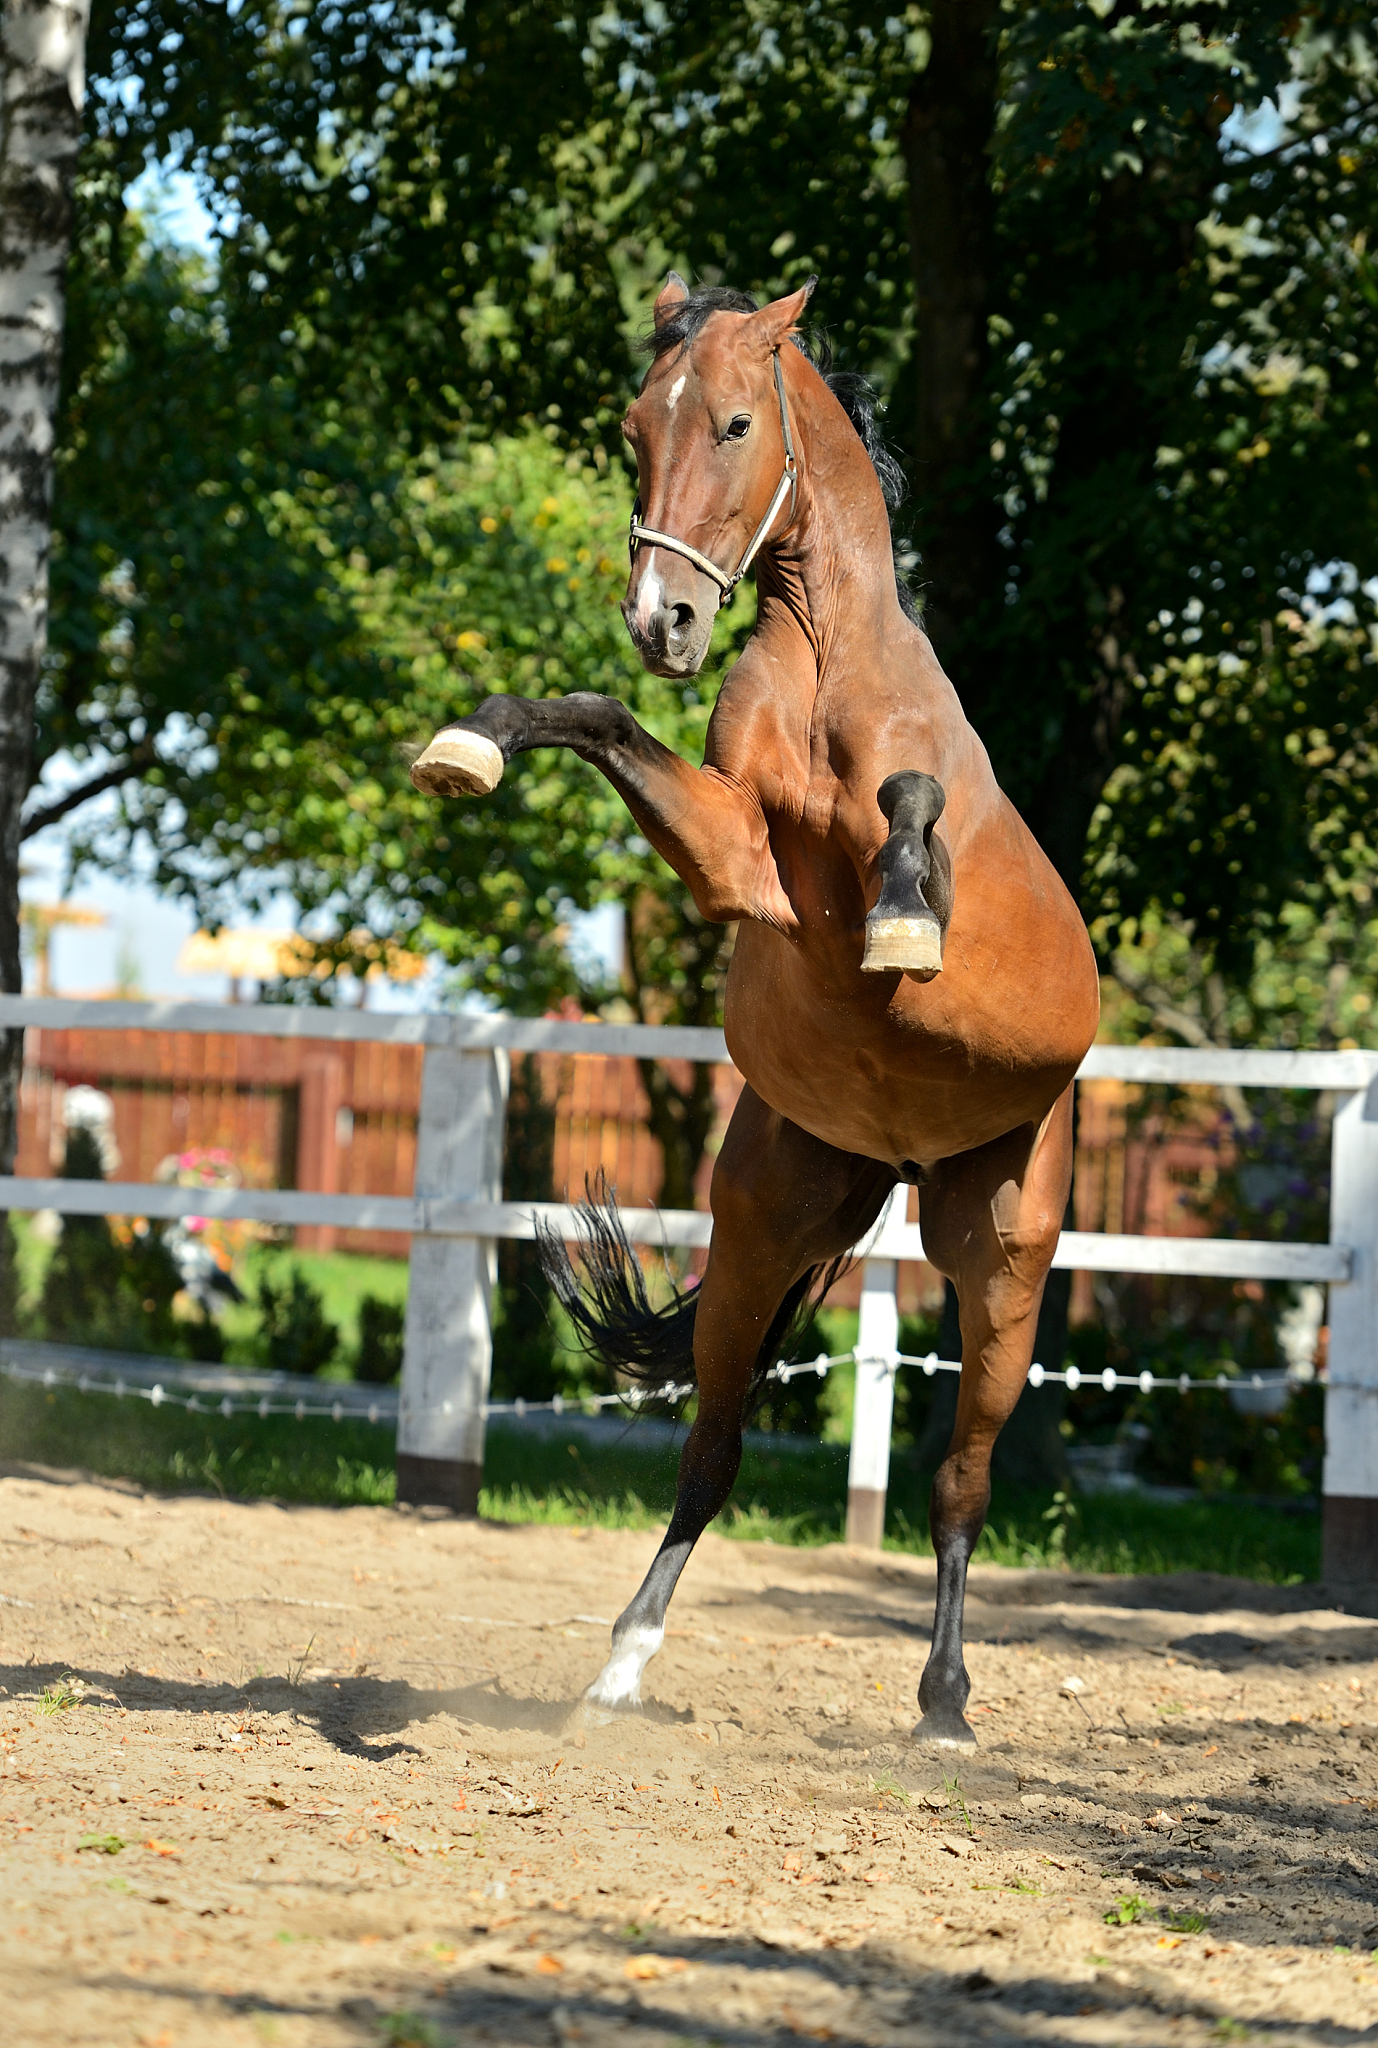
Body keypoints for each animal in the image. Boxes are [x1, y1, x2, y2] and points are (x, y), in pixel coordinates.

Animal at [410, 276, 1099, 1747]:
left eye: (735, 422)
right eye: (633, 426)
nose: (662, 619)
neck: (831, 659)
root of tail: (901, 1163)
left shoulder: (877, 836)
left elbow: (908, 808)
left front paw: (900, 908)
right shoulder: (739, 858)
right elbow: (595, 716)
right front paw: (470, 742)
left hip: (1001, 1262)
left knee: (958, 1487)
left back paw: (943, 1709)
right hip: (762, 1228)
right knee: (712, 1448)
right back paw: (617, 1668)